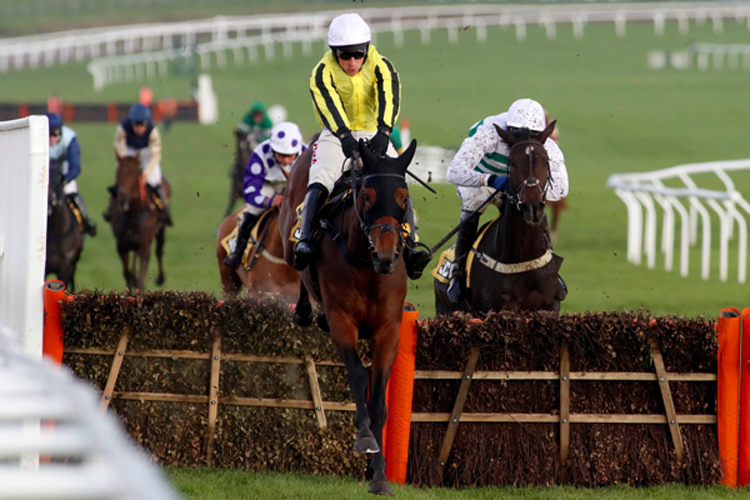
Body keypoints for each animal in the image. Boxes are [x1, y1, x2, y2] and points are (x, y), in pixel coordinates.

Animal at [106, 154, 170, 292]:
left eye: (134, 174)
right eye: (117, 173)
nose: (123, 199)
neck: (132, 215)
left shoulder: (144, 246)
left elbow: (141, 278)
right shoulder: (122, 246)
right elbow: (127, 274)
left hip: (161, 229)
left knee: (159, 250)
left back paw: (160, 278)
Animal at [280, 141, 420, 496]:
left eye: (403, 197)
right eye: (367, 195)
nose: (386, 255)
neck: (366, 266)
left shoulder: (389, 329)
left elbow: (379, 398)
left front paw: (379, 475)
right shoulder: (343, 321)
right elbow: (357, 374)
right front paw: (365, 437)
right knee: (298, 263)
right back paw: (304, 307)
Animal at [432, 122, 568, 314]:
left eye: (546, 161)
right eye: (512, 162)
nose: (532, 206)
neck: (522, 259)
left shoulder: (550, 306)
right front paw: (497, 181)